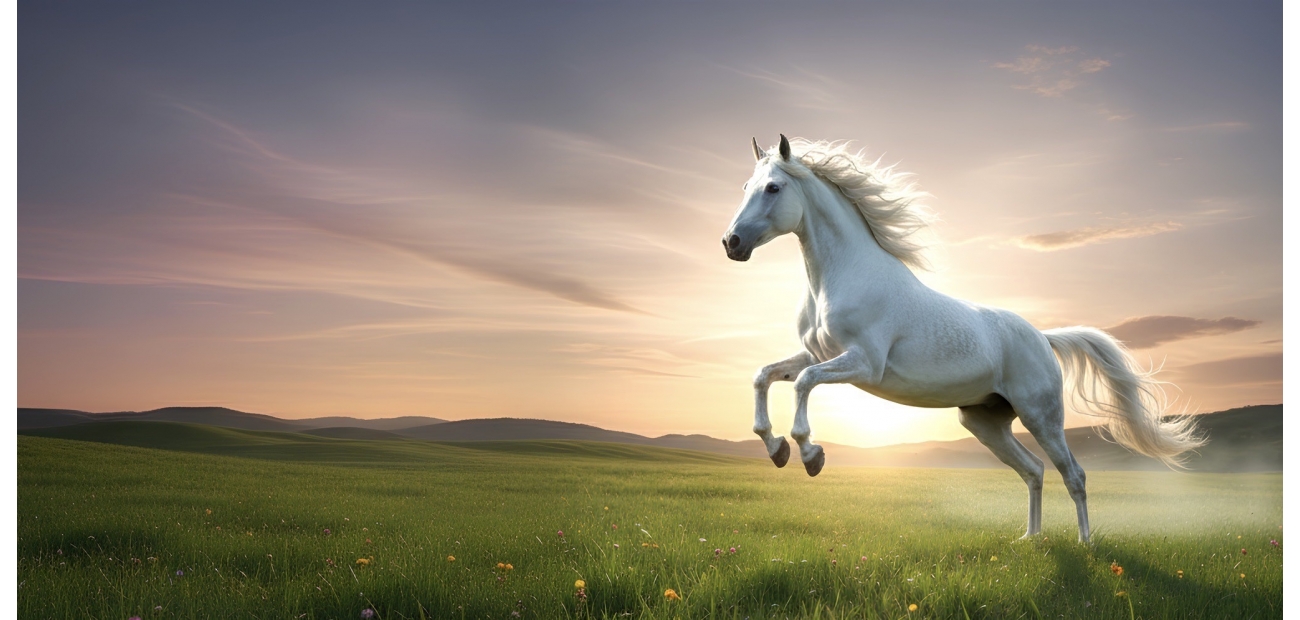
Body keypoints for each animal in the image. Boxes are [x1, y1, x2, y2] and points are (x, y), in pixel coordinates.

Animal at [721, 135, 1204, 542]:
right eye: (745, 185)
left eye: (773, 188)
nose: (731, 242)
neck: (840, 278)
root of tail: (1042, 337)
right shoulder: (814, 353)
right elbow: (764, 375)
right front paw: (776, 448)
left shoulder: (863, 363)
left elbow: (803, 384)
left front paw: (810, 455)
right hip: (984, 422)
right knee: (1034, 470)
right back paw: (1030, 539)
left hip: (1041, 416)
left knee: (1074, 475)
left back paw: (1086, 544)